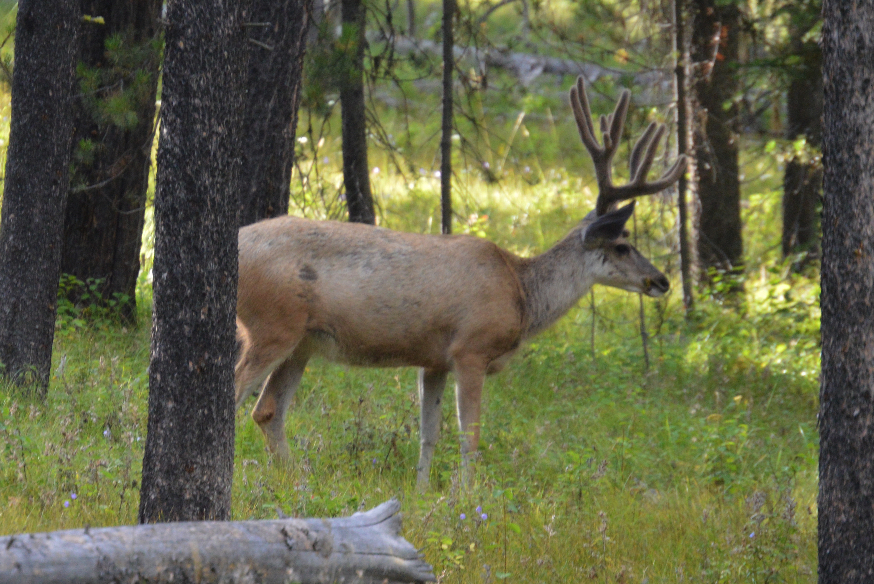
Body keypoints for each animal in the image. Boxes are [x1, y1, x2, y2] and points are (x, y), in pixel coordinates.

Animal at [235, 77, 684, 488]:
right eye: (623, 245)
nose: (662, 281)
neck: (522, 292)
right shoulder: (472, 347)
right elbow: (471, 435)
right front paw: (466, 496)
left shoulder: (433, 359)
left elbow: (429, 433)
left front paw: (421, 491)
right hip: (272, 325)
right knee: (238, 393)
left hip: (304, 341)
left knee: (267, 410)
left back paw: (299, 480)